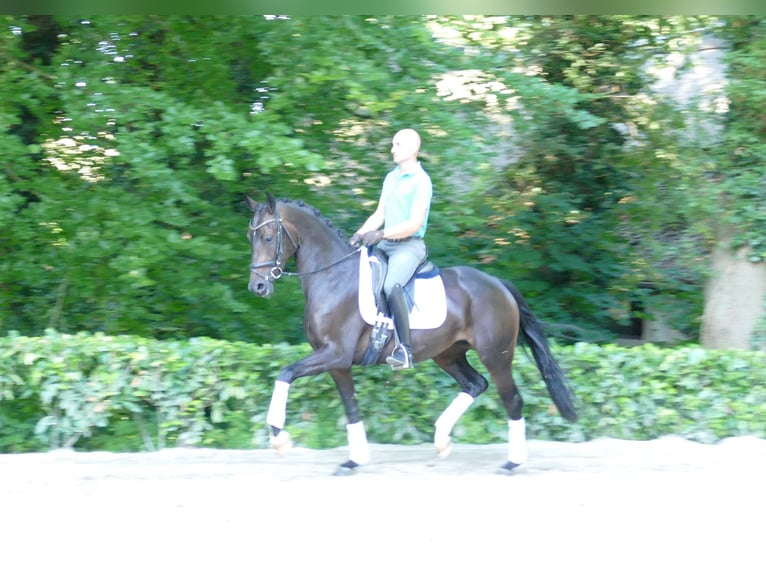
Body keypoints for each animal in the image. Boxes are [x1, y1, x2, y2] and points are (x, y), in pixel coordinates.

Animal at [246, 194, 576, 476]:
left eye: (268, 237)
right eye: (251, 238)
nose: (257, 287)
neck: (332, 277)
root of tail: (497, 284)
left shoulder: (334, 353)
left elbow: (285, 373)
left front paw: (279, 437)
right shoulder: (337, 361)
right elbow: (351, 407)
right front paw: (354, 460)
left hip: (496, 355)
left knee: (512, 399)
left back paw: (511, 462)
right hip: (448, 354)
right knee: (475, 384)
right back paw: (442, 438)